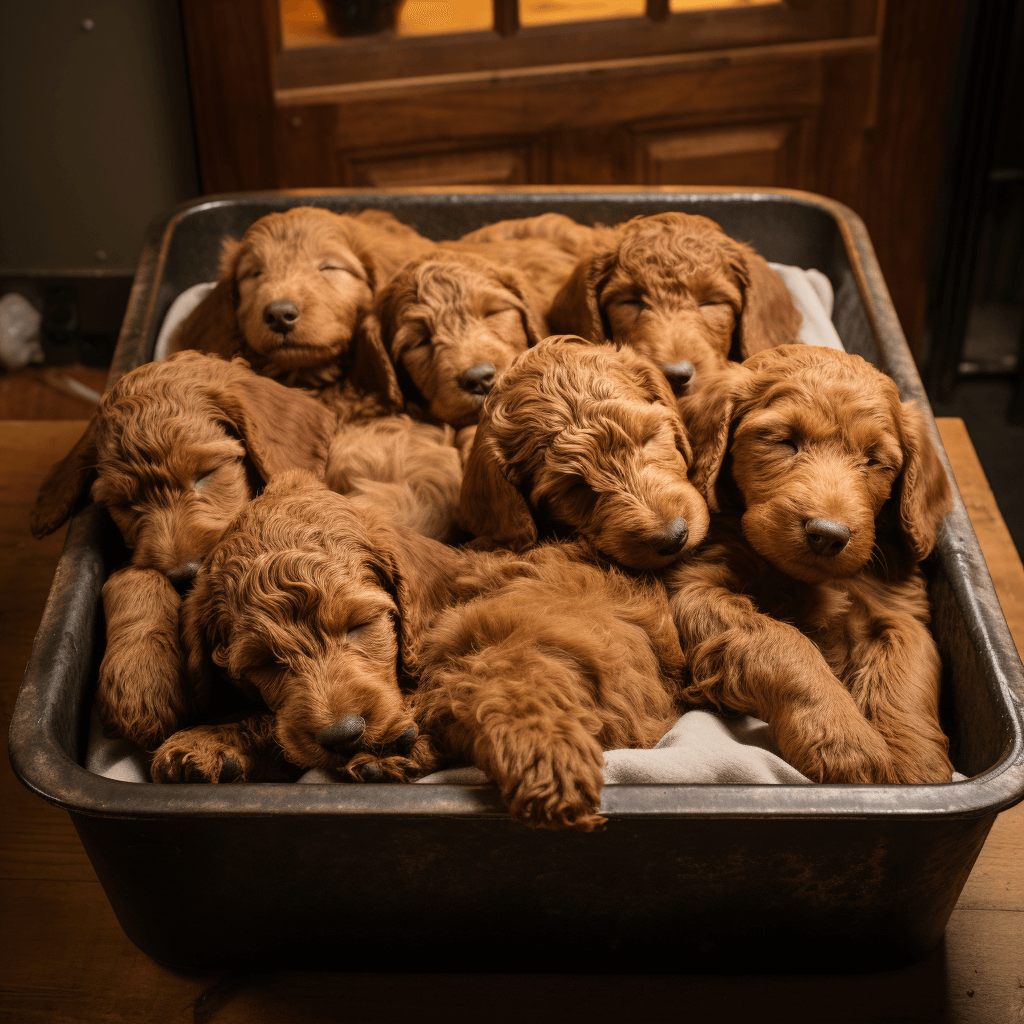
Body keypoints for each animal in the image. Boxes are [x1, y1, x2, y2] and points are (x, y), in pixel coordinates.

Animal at [667, 344, 954, 782]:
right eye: (785, 441)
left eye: (874, 460)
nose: (828, 533)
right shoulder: (696, 587)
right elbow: (780, 642)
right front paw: (842, 738)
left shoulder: (901, 608)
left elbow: (906, 669)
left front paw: (914, 765)